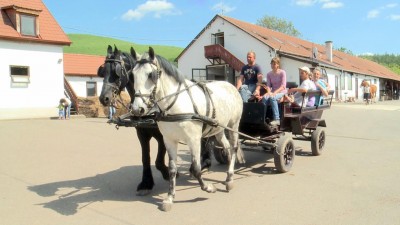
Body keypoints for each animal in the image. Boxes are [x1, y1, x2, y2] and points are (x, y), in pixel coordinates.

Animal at [98, 45, 211, 195]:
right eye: (103, 71)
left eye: (116, 72)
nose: (104, 98)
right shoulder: (142, 133)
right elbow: (145, 158)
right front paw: (146, 183)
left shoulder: (163, 134)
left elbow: (158, 161)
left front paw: (167, 173)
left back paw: (204, 164)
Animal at [131, 47, 244, 211]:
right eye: (132, 75)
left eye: (151, 75)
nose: (137, 109)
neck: (176, 104)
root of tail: (231, 86)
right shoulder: (169, 140)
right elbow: (172, 169)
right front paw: (169, 198)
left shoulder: (194, 140)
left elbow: (196, 168)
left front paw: (208, 187)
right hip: (218, 129)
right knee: (227, 147)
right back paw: (228, 174)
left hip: (233, 125)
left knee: (234, 147)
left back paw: (229, 179)